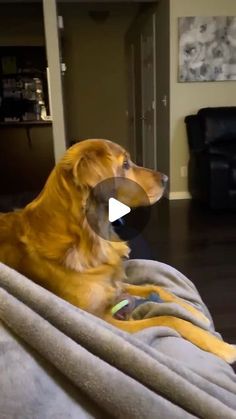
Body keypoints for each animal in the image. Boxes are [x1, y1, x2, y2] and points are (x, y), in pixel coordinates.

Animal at [0, 139, 236, 362]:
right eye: (125, 164)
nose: (166, 179)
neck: (90, 235)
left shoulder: (115, 284)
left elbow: (157, 287)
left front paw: (197, 313)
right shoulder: (100, 319)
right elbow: (168, 318)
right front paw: (224, 348)